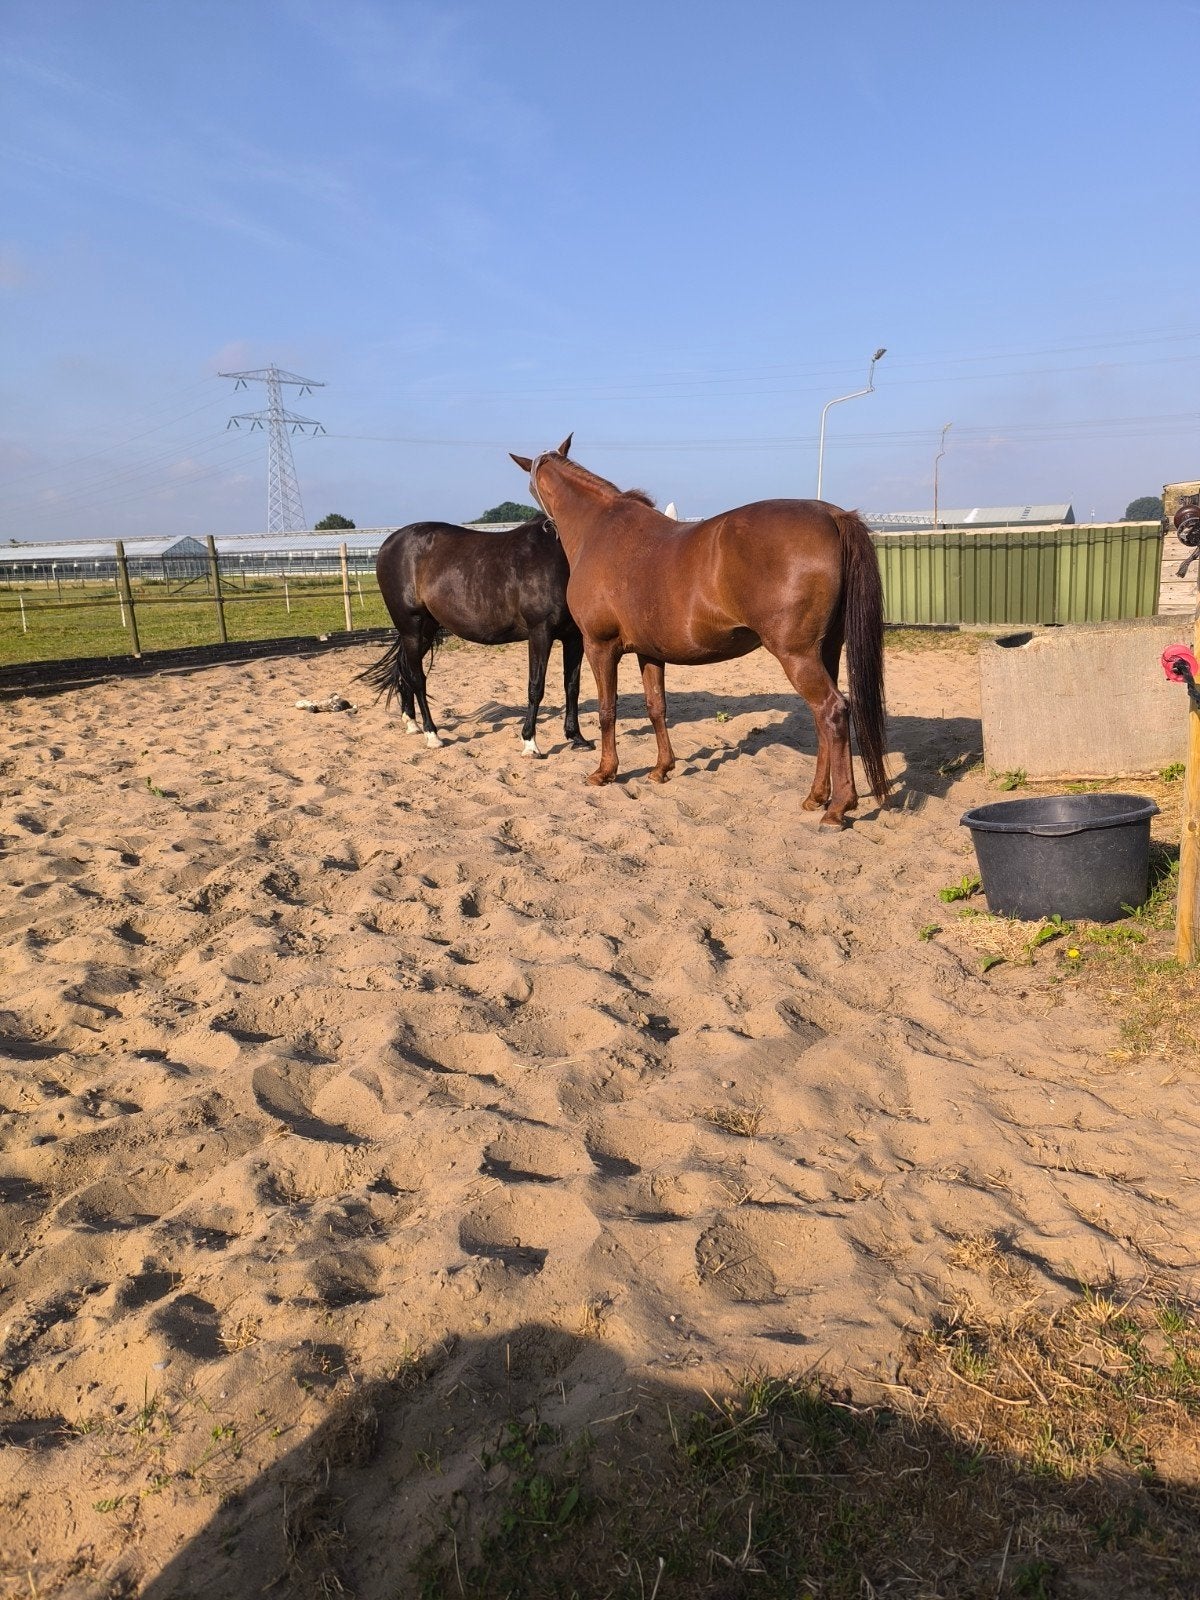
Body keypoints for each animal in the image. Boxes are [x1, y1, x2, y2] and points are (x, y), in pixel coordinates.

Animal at [358, 516, 595, 756]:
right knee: (417, 679)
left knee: (404, 668)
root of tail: (389, 543)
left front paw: (577, 737)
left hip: (424, 631)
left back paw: (411, 722)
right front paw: (530, 743)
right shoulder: (540, 632)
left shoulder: (574, 637)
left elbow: (572, 686)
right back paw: (432, 735)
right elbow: (536, 686)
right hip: (412, 628)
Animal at [509, 436, 888, 827]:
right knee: (821, 720)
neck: (598, 531)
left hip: (797, 655)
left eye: (530, 487)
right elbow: (656, 707)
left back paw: (838, 808)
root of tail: (832, 515)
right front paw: (661, 769)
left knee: (832, 711)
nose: (543, 526)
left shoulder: (599, 647)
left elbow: (606, 710)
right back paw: (816, 797)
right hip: (826, 651)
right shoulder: (649, 652)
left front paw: (604, 772)